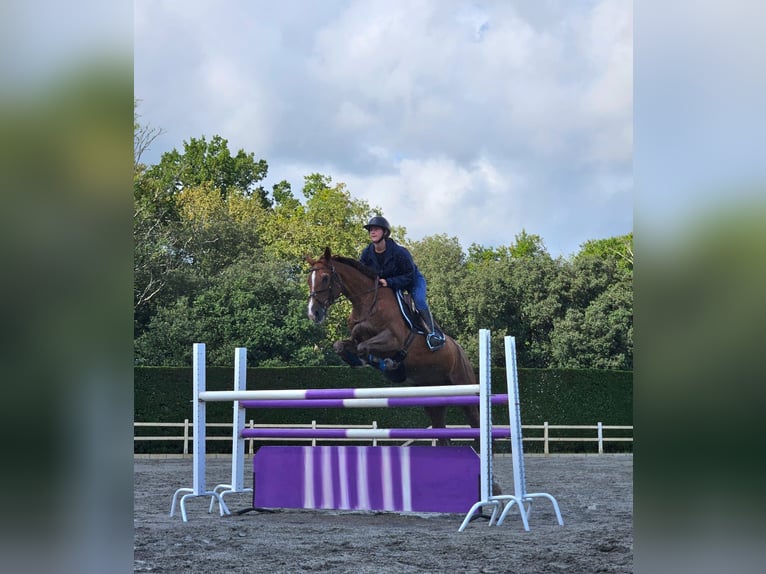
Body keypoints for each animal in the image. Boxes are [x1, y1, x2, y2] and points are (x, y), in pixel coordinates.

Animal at [305, 246, 481, 443]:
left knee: (475, 424)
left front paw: (387, 364)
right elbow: (342, 345)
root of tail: (460, 350)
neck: (368, 302)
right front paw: (359, 361)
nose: (313, 313)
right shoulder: (357, 339)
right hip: (434, 399)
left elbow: (364, 345)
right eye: (309, 280)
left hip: (464, 387)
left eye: (325, 277)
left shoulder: (394, 340)